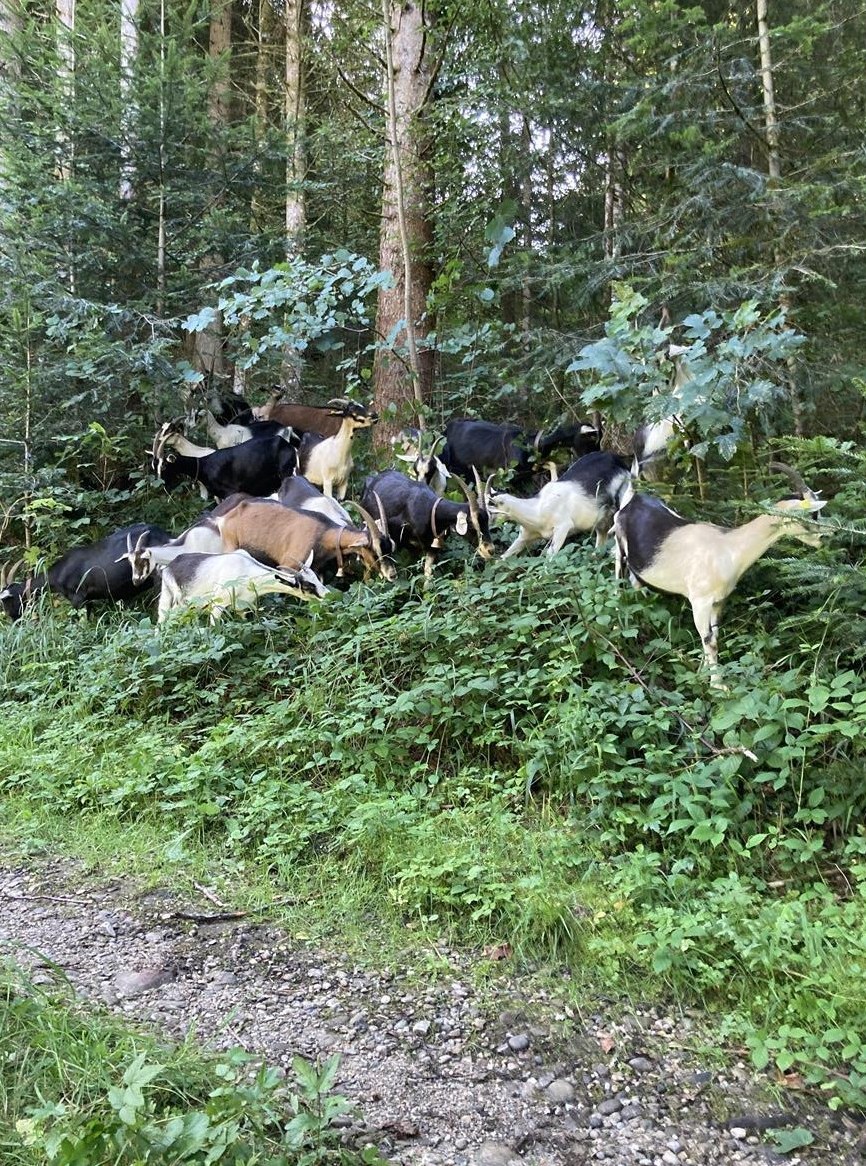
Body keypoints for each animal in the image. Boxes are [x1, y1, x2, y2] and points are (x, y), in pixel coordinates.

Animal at [151, 423, 298, 501]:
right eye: (154, 466)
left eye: (164, 466)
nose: (158, 484)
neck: (203, 464)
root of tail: (287, 444)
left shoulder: (231, 492)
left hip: (286, 472)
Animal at [155, 549, 326, 623]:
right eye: (307, 586)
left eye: (317, 579)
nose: (326, 596)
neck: (247, 572)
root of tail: (168, 566)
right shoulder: (218, 604)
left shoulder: (242, 606)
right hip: (176, 600)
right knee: (163, 620)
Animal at [360, 469, 494, 578]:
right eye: (471, 524)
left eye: (487, 521)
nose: (490, 550)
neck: (430, 511)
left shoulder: (432, 547)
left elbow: (428, 574)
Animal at [488, 452, 631, 557]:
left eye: (490, 510)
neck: (536, 509)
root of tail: (617, 459)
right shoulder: (525, 537)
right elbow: (503, 557)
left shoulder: (563, 527)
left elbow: (549, 558)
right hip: (601, 518)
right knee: (601, 537)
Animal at [612, 463, 827, 685]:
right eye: (812, 514)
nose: (824, 537)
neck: (728, 548)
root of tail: (632, 500)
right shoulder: (699, 601)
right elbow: (709, 641)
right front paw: (717, 685)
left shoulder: (718, 601)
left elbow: (714, 636)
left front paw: (702, 674)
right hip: (619, 549)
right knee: (618, 585)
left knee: (636, 584)